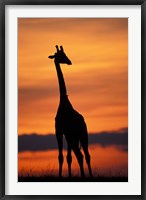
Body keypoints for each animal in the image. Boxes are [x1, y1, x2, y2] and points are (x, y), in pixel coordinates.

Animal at [48, 45, 92, 178]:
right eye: (60, 55)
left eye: (65, 54)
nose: (69, 61)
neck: (63, 102)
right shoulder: (63, 133)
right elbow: (66, 157)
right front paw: (67, 176)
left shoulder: (62, 132)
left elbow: (64, 157)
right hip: (78, 136)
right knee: (83, 155)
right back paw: (87, 176)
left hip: (80, 135)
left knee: (83, 155)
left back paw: (86, 176)